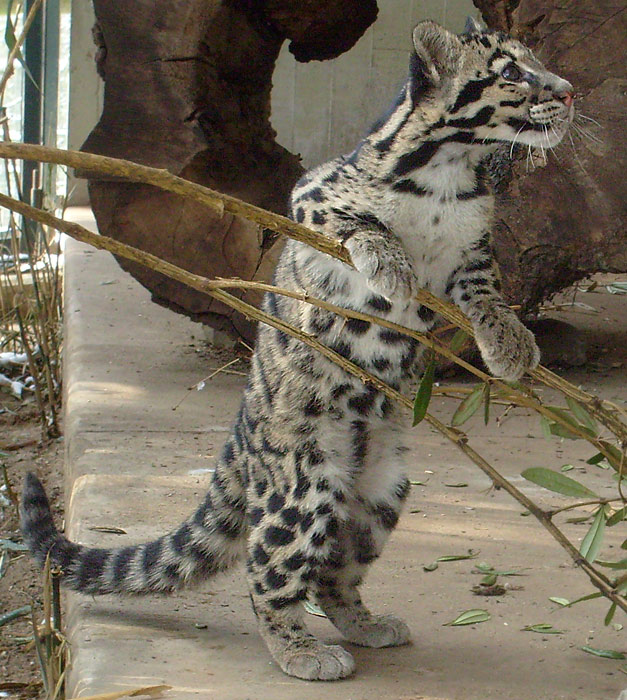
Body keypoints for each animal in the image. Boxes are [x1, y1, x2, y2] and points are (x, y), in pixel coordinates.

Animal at [23, 19, 576, 680]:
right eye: (512, 72)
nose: (569, 92)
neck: (451, 170)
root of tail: (240, 435)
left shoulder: (471, 252)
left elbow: (488, 291)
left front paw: (510, 344)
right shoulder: (311, 195)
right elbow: (361, 225)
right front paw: (389, 266)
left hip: (379, 497)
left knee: (333, 577)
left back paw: (365, 625)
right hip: (300, 488)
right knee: (268, 577)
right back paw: (299, 651)